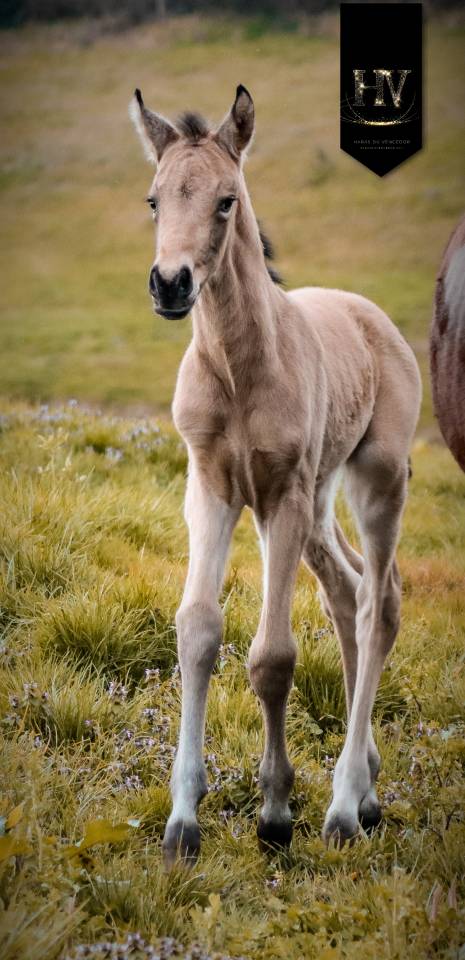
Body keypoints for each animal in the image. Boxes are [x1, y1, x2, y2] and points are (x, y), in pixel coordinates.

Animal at [130, 85, 422, 865]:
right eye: (154, 199)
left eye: (226, 201)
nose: (170, 285)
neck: (238, 371)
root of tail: (370, 314)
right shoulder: (213, 488)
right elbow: (198, 630)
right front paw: (183, 822)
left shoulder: (283, 494)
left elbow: (272, 657)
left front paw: (276, 813)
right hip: (315, 505)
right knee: (346, 592)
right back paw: (368, 789)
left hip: (373, 480)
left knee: (378, 603)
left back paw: (345, 807)